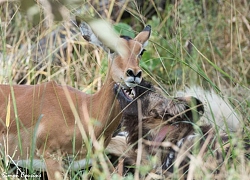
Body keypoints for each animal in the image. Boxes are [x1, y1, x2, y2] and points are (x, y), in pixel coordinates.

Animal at [0, 20, 150, 179]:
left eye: (141, 51)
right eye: (111, 49)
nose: (134, 73)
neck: (86, 110)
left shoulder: (98, 157)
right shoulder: (50, 157)